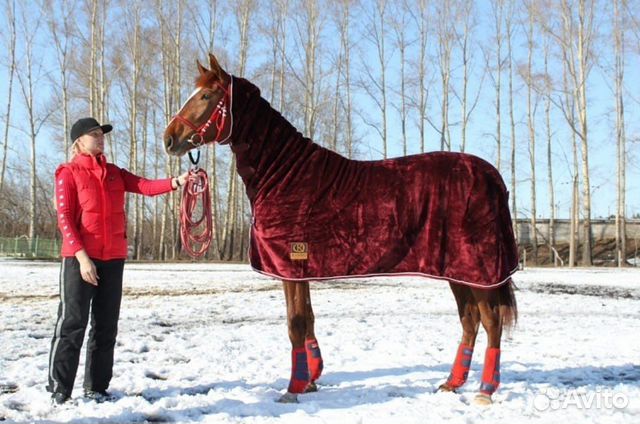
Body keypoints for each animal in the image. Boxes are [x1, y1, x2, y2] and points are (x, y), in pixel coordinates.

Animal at [164, 53, 518, 405]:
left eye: (206, 96)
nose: (169, 138)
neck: (285, 174)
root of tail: (492, 176)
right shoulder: (300, 270)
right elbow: (307, 319)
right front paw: (310, 380)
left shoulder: (291, 264)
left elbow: (295, 324)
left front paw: (293, 389)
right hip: (458, 271)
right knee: (470, 320)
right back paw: (451, 383)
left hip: (479, 271)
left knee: (491, 321)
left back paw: (485, 391)